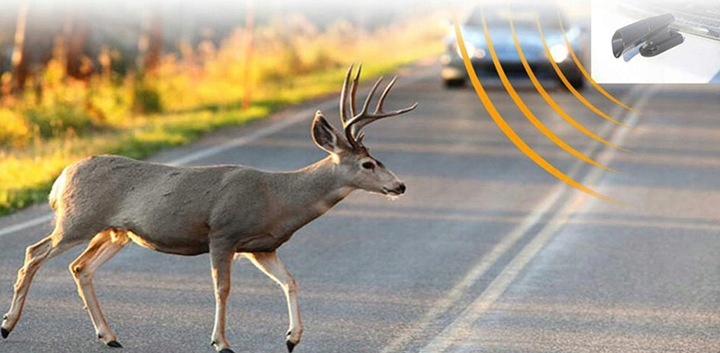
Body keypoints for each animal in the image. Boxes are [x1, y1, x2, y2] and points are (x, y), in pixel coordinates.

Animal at [0, 64, 416, 350]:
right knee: (34, 253)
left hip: (116, 231)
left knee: (80, 267)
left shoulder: (262, 246)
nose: (400, 185)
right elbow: (222, 289)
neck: (278, 197)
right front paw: (221, 342)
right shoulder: (223, 232)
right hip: (78, 218)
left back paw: (110, 335)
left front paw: (293, 337)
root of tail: (60, 179)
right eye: (368, 164)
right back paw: (7, 324)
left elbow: (290, 281)